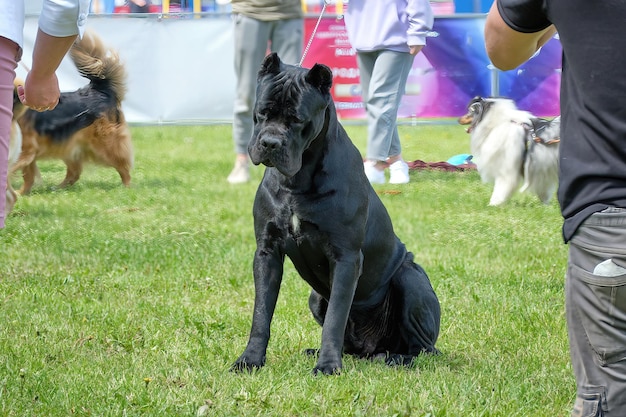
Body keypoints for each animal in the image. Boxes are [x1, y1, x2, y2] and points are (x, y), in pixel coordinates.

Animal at [11, 30, 133, 194]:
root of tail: (101, 90)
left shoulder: (26, 150)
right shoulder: (29, 153)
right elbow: (28, 176)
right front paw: (20, 194)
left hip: (104, 146)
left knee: (123, 166)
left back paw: (127, 188)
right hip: (70, 145)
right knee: (74, 173)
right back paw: (57, 189)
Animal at [229, 53, 438, 376]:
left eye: (297, 119)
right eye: (262, 112)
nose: (270, 143)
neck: (298, 179)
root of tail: (372, 347)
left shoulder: (346, 257)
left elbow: (335, 318)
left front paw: (327, 365)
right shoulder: (267, 252)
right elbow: (261, 314)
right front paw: (250, 359)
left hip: (410, 279)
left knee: (423, 349)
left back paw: (394, 358)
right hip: (316, 297)